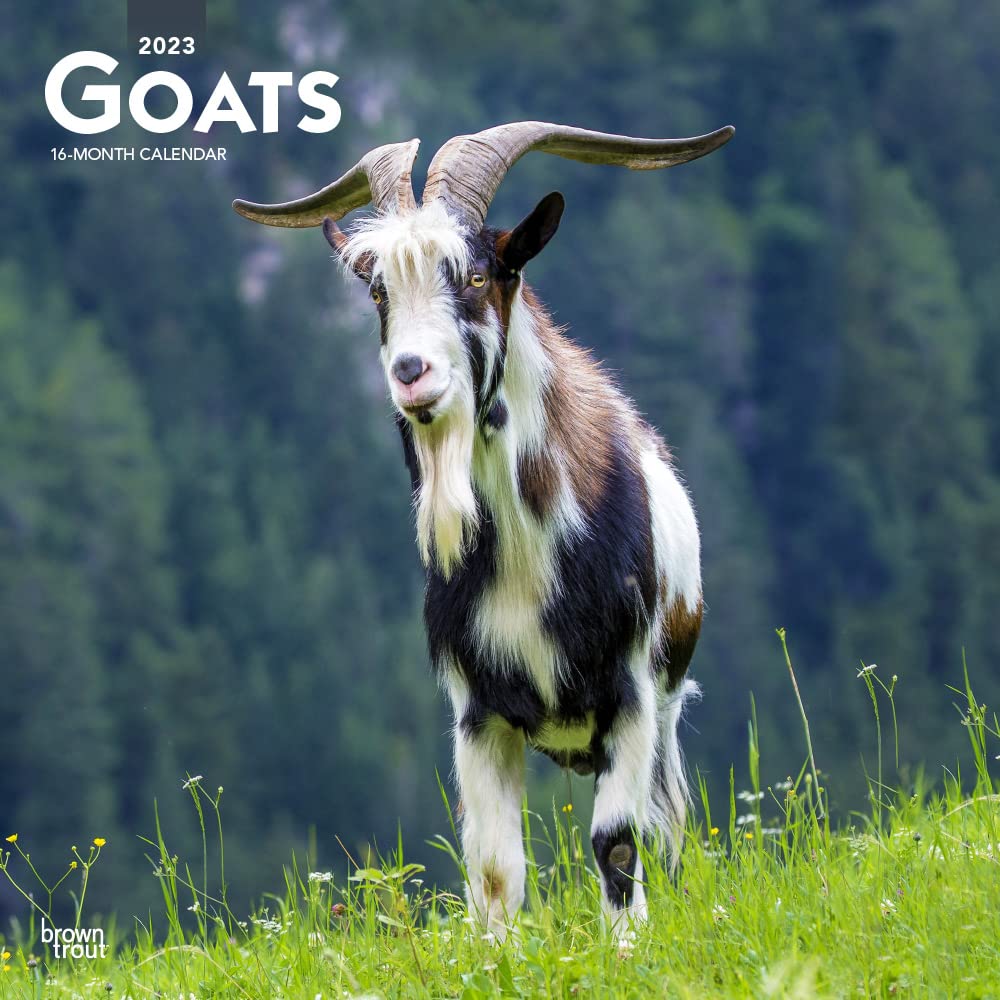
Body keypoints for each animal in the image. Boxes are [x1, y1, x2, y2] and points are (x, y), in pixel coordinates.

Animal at [234, 120, 734, 940]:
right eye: (379, 289)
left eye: (473, 276)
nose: (412, 372)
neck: (532, 556)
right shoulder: (478, 712)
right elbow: (496, 870)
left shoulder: (627, 692)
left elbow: (615, 843)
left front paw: (628, 948)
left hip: (663, 709)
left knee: (665, 826)